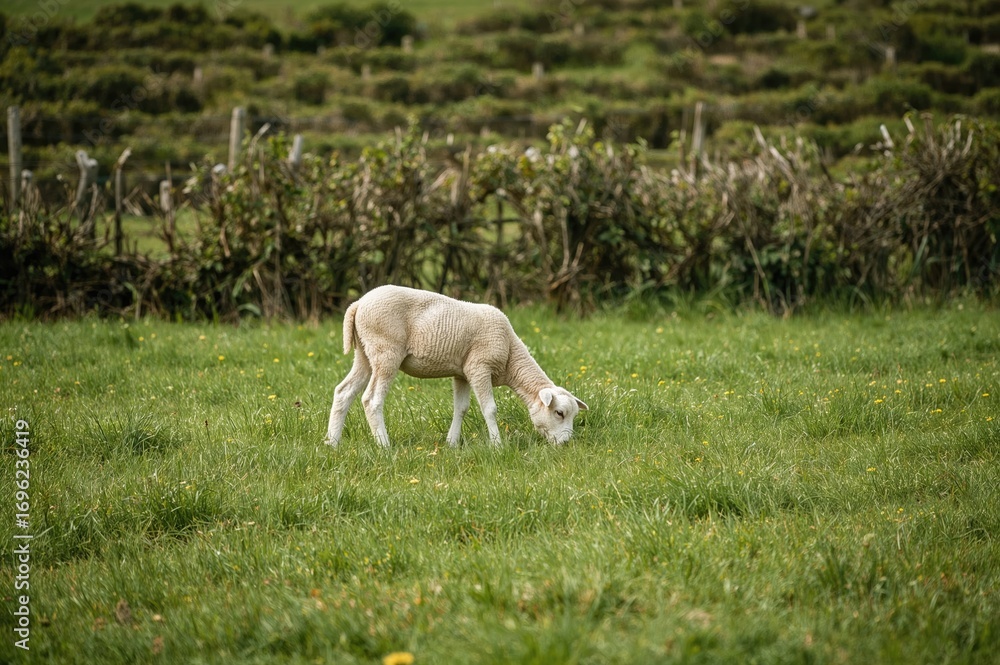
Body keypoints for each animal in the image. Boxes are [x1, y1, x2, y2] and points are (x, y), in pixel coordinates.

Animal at [324, 285, 588, 448]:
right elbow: (489, 408)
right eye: (559, 413)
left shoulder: (462, 373)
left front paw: (451, 443)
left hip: (364, 353)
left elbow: (460, 408)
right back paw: (384, 445)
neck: (511, 357)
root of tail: (358, 304)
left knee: (343, 392)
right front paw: (497, 445)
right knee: (371, 399)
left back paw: (332, 443)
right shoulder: (479, 366)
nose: (566, 444)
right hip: (385, 351)